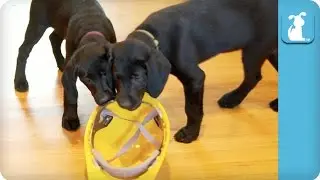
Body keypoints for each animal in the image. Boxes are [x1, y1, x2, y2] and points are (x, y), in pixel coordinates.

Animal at [14, 0, 116, 130]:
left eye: (105, 73)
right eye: (87, 80)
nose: (104, 99)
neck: (91, 28)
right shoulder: (70, 69)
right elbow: (71, 94)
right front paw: (70, 118)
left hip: (59, 25)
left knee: (53, 38)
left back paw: (61, 63)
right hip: (37, 24)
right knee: (23, 50)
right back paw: (20, 81)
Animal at [110, 0, 278, 144]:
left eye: (137, 77)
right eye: (116, 77)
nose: (122, 104)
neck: (155, 37)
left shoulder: (195, 78)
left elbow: (192, 109)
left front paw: (190, 133)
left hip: (255, 49)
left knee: (253, 77)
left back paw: (233, 98)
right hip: (270, 50)